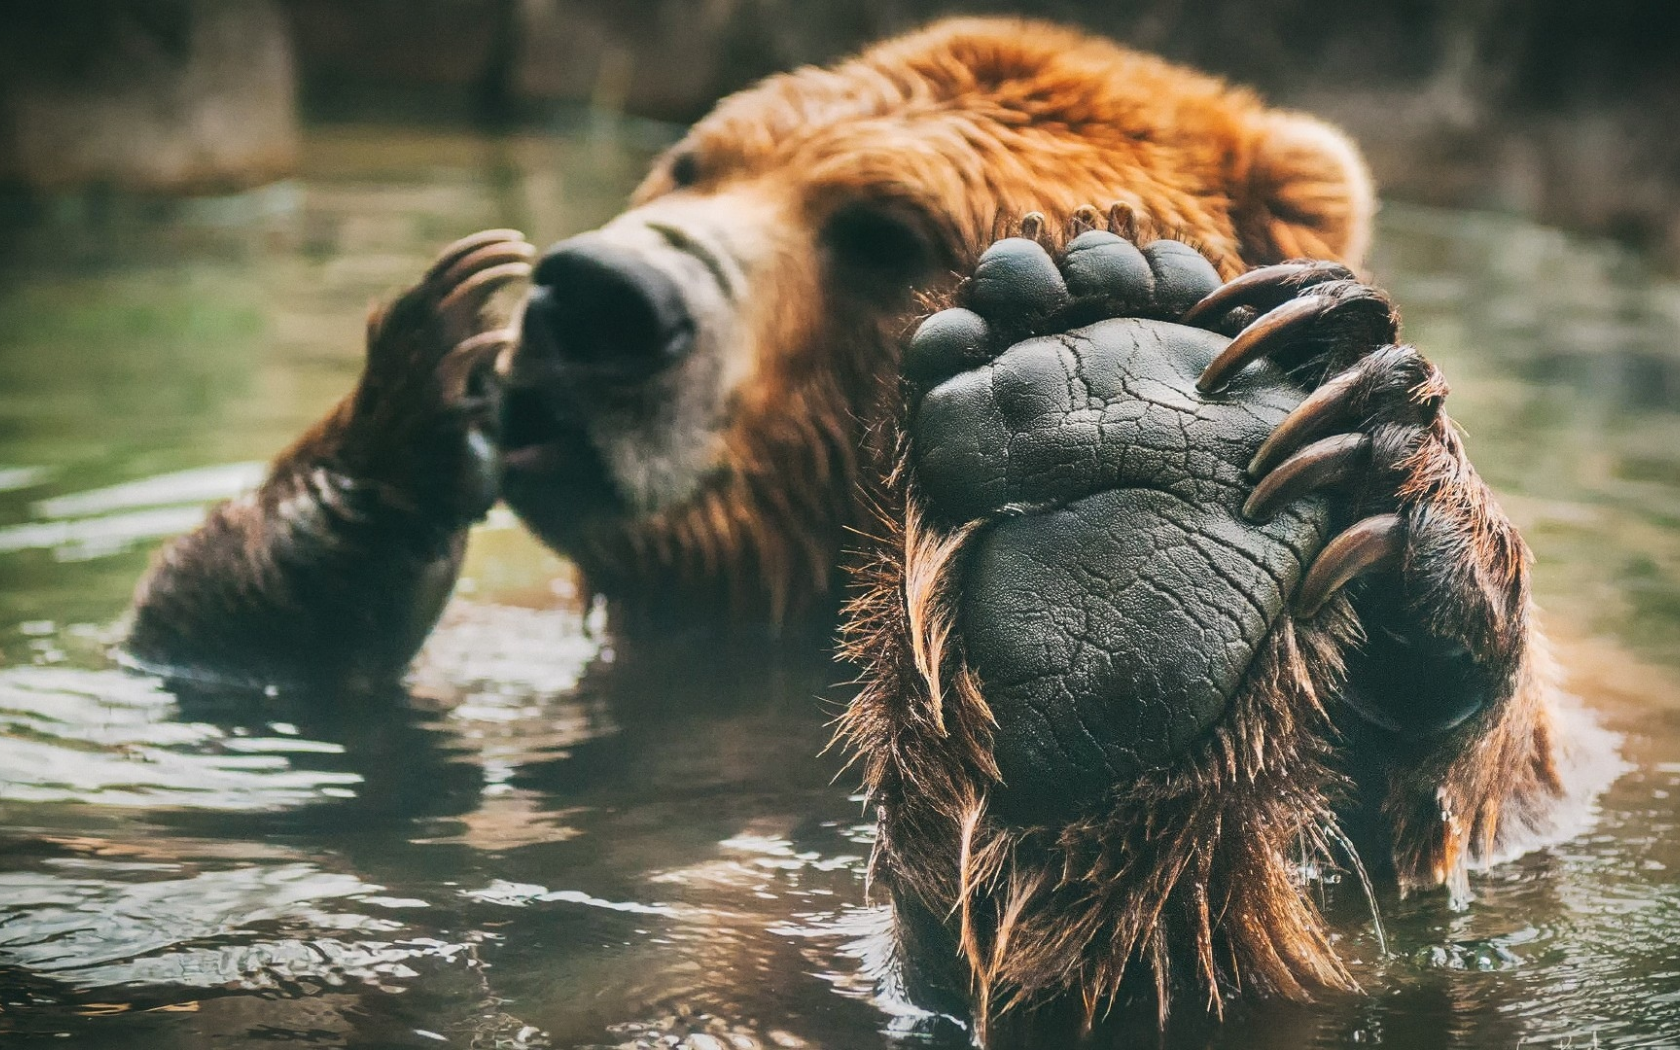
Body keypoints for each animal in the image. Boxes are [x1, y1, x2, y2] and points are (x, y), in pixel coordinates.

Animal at [127, 16, 1559, 1041]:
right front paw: (429, 369)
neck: (773, 609)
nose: (597, 296)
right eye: (695, 160)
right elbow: (206, 663)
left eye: (879, 228)